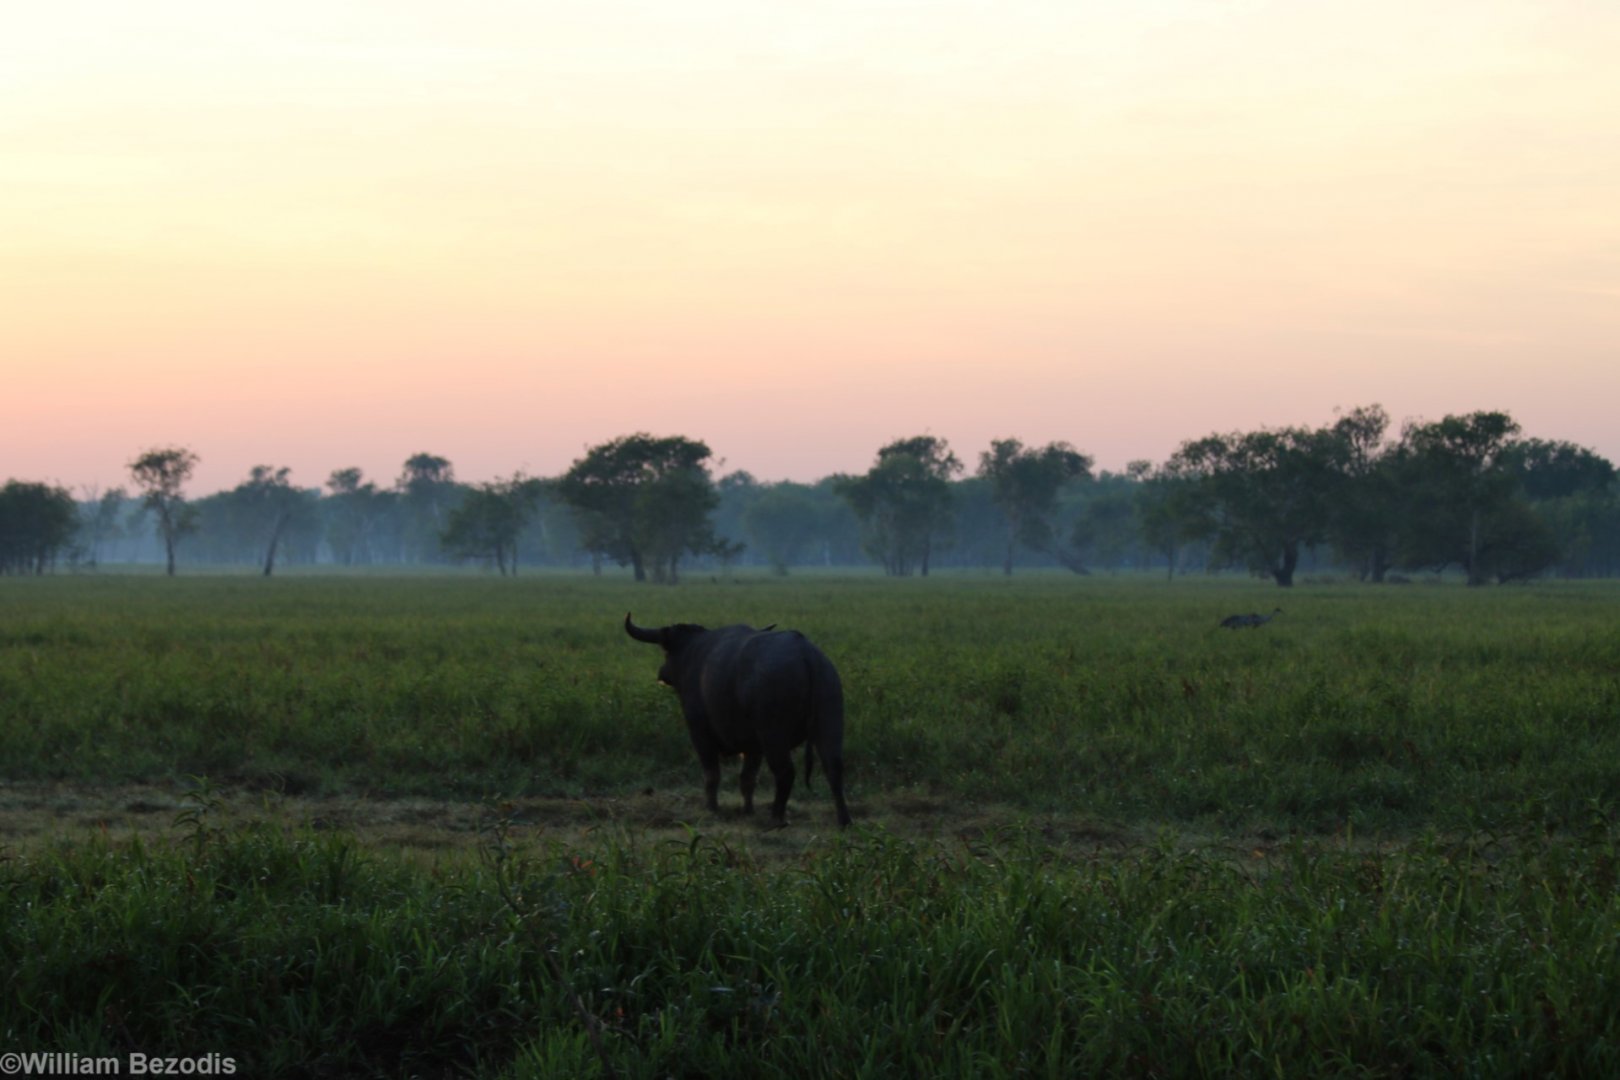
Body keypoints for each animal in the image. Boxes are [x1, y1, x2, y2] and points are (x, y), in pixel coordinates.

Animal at [625, 613, 851, 828]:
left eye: (667, 650)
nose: (662, 674)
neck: (694, 653)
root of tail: (807, 655)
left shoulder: (699, 732)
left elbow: (712, 774)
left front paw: (712, 807)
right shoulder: (753, 746)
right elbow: (747, 778)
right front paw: (747, 810)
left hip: (774, 736)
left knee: (785, 772)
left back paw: (776, 817)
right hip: (829, 724)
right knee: (834, 767)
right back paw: (843, 819)